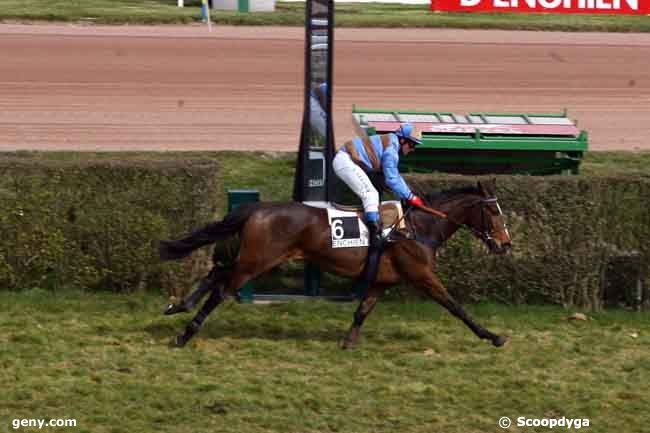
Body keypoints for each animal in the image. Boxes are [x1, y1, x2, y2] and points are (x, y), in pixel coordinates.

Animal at [159, 178, 508, 348]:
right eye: (492, 212)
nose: (506, 244)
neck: (420, 227)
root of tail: (257, 208)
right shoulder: (422, 275)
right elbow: (456, 306)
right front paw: (492, 336)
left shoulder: (381, 282)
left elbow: (362, 311)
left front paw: (348, 342)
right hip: (256, 262)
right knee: (221, 289)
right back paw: (184, 335)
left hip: (253, 260)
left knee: (217, 271)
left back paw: (179, 306)